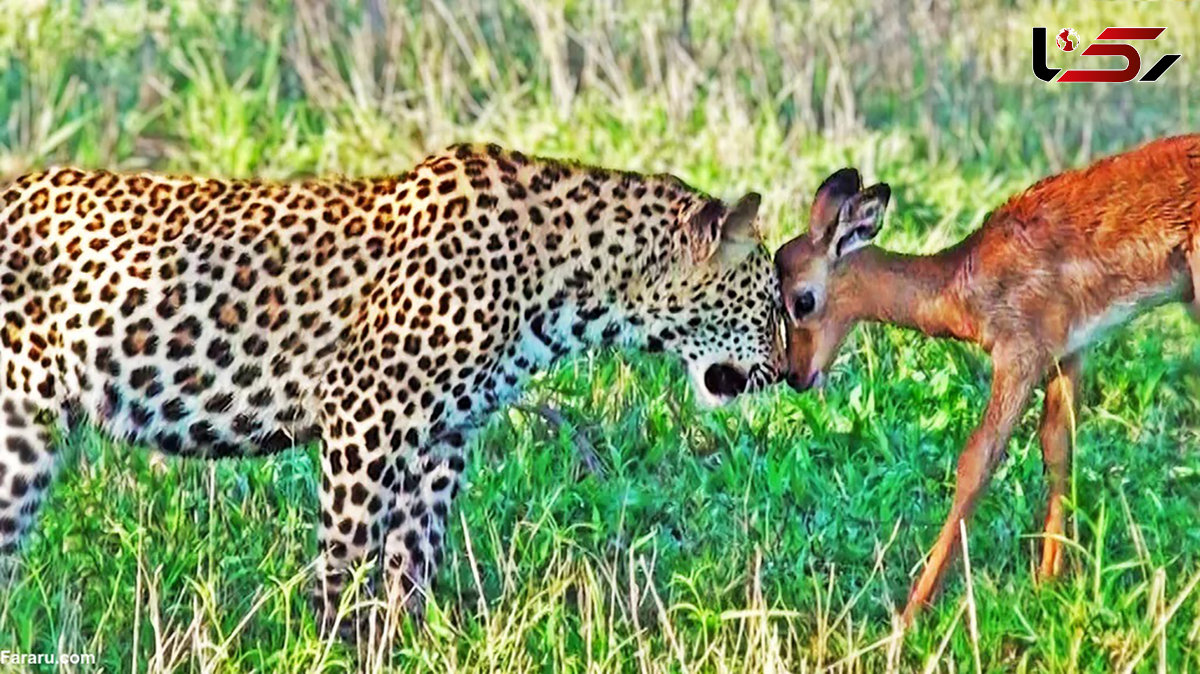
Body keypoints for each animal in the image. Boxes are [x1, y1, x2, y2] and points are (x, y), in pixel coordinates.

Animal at [0, 141, 782, 633]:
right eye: (770, 302)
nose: (784, 370)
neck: (578, 289)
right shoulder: (365, 411)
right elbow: (346, 550)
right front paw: (328, 641)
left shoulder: (444, 437)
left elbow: (414, 550)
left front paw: (408, 637)